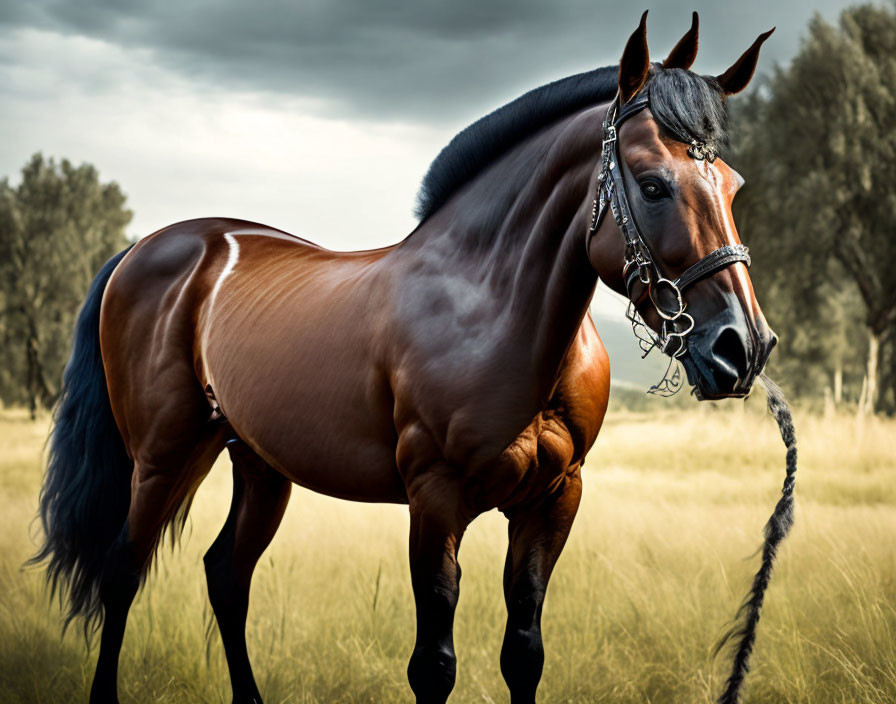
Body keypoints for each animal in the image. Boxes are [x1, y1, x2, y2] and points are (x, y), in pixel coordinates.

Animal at [35, 12, 776, 704]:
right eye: (652, 185)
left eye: (733, 184)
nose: (743, 348)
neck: (489, 307)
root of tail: (144, 250)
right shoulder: (435, 499)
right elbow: (433, 665)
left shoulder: (554, 498)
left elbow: (524, 653)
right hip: (162, 456)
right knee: (122, 573)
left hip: (259, 464)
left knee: (226, 575)